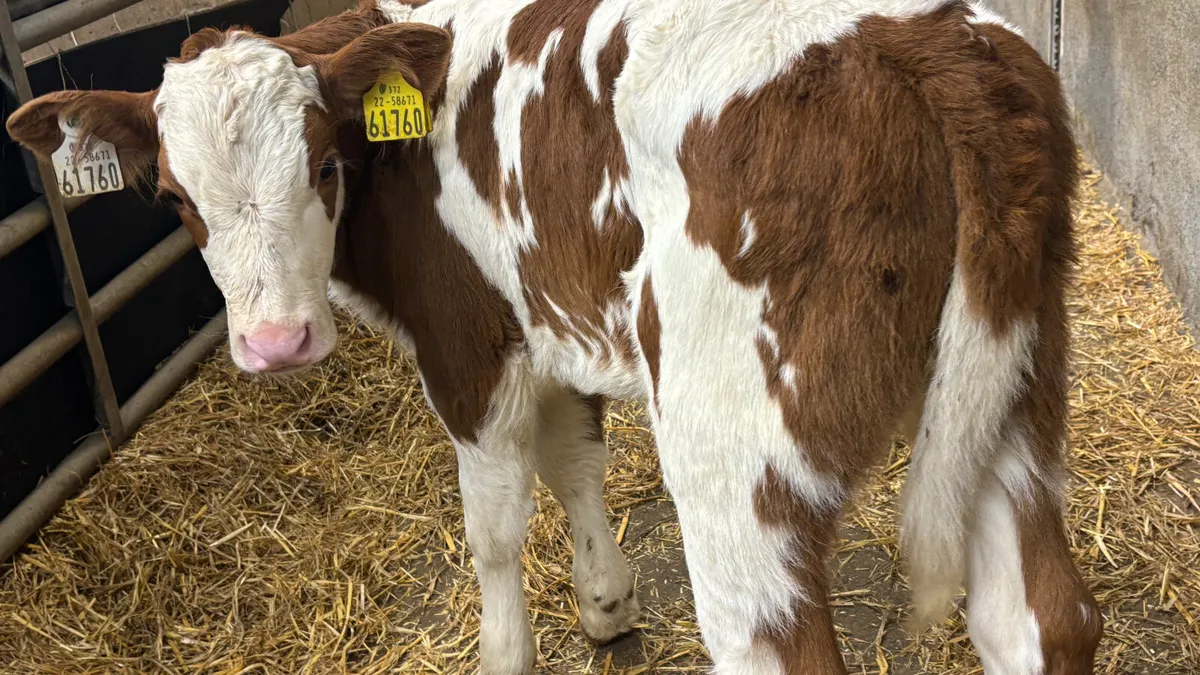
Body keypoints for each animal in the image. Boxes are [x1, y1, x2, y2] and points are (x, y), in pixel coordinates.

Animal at [7, 0, 1104, 672]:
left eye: (323, 165)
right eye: (174, 199)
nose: (275, 342)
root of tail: (927, 45)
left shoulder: (467, 341)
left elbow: (494, 527)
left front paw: (506, 649)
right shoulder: (555, 317)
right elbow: (575, 455)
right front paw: (607, 603)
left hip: (735, 453)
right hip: (1011, 392)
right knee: (1040, 617)